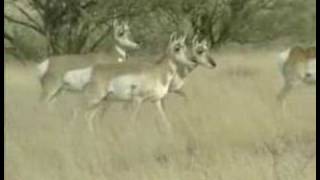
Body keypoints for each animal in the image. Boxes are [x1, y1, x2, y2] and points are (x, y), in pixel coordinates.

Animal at [82, 33, 216, 133]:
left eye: (207, 49)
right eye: (199, 50)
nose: (213, 64)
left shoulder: (159, 98)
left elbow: (167, 116)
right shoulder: (145, 98)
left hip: (105, 102)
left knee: (93, 118)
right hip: (99, 100)